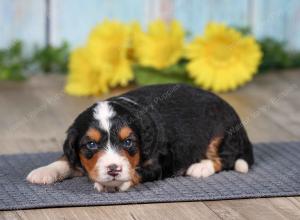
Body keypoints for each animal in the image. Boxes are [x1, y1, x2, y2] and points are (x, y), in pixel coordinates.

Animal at [27, 83, 254, 192]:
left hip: (221, 132)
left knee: (227, 157)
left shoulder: (157, 163)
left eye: (128, 142)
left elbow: (137, 171)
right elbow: (65, 159)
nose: (113, 169)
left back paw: (201, 167)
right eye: (90, 144)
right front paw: (43, 171)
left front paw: (117, 182)